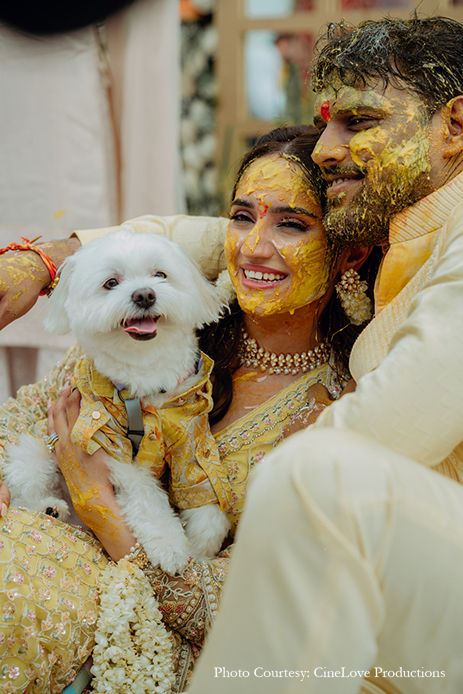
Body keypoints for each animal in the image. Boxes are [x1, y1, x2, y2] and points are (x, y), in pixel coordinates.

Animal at [4, 231, 232, 572]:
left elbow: (203, 499)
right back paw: (49, 508)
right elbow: (147, 499)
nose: (144, 295)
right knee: (25, 494)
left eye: (160, 274)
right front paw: (171, 546)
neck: (146, 377)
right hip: (33, 454)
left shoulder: (191, 441)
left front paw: (201, 552)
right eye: (111, 282)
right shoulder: (112, 445)